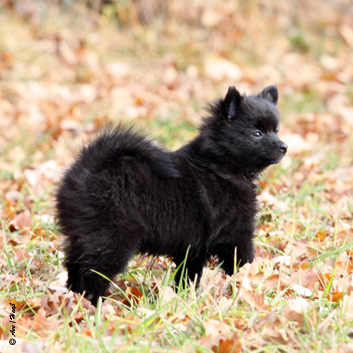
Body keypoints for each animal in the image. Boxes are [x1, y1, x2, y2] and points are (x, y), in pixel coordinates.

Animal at [55, 84, 286, 304]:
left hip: (81, 236)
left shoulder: (193, 248)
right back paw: (95, 305)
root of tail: (89, 167)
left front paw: (185, 298)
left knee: (74, 265)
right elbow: (243, 262)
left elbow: (188, 277)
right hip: (111, 240)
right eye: (257, 133)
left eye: (276, 129)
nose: (284, 146)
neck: (219, 164)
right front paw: (247, 286)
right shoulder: (236, 234)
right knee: (93, 274)